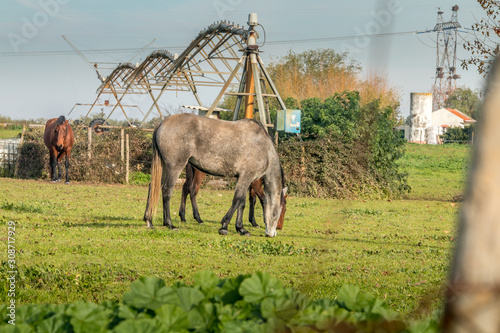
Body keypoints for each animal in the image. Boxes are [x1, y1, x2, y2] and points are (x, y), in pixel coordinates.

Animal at [143, 113, 288, 236]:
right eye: (281, 211)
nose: (273, 233)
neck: (263, 146)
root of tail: (162, 123)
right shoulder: (247, 177)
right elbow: (237, 200)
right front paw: (224, 226)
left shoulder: (243, 178)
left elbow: (242, 202)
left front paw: (241, 228)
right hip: (174, 167)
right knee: (167, 191)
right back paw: (169, 224)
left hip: (164, 167)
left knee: (153, 188)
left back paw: (149, 221)